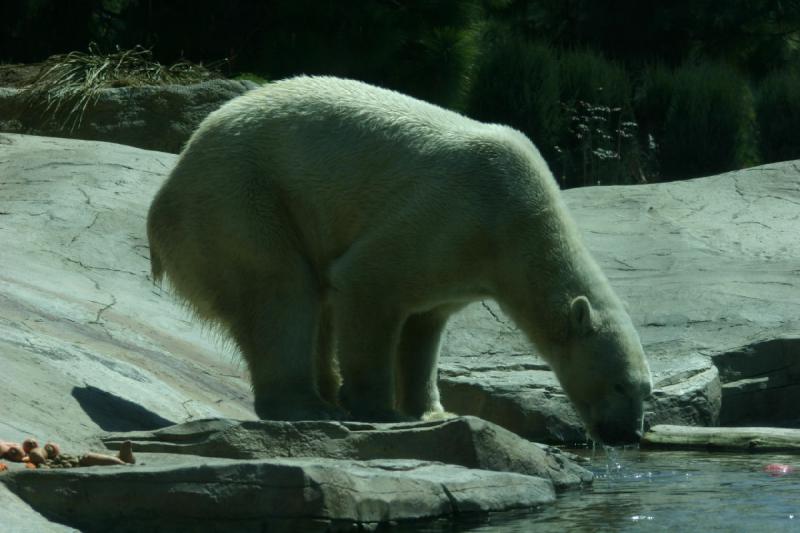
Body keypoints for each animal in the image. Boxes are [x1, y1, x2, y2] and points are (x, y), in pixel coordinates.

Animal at [147, 75, 652, 444]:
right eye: (620, 385)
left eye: (646, 391)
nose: (627, 435)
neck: (520, 220)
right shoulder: (455, 213)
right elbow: (367, 284)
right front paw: (379, 408)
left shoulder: (464, 263)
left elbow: (424, 327)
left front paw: (430, 409)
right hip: (241, 194)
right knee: (282, 291)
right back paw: (305, 403)